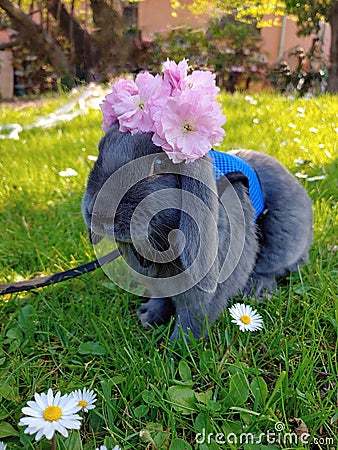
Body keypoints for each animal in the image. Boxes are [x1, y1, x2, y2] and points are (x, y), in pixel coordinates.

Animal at [82, 121, 312, 340]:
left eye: (160, 164)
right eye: (100, 153)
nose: (99, 215)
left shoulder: (205, 291)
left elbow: (193, 315)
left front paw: (178, 346)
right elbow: (161, 299)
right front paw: (149, 317)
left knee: (271, 269)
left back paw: (258, 291)